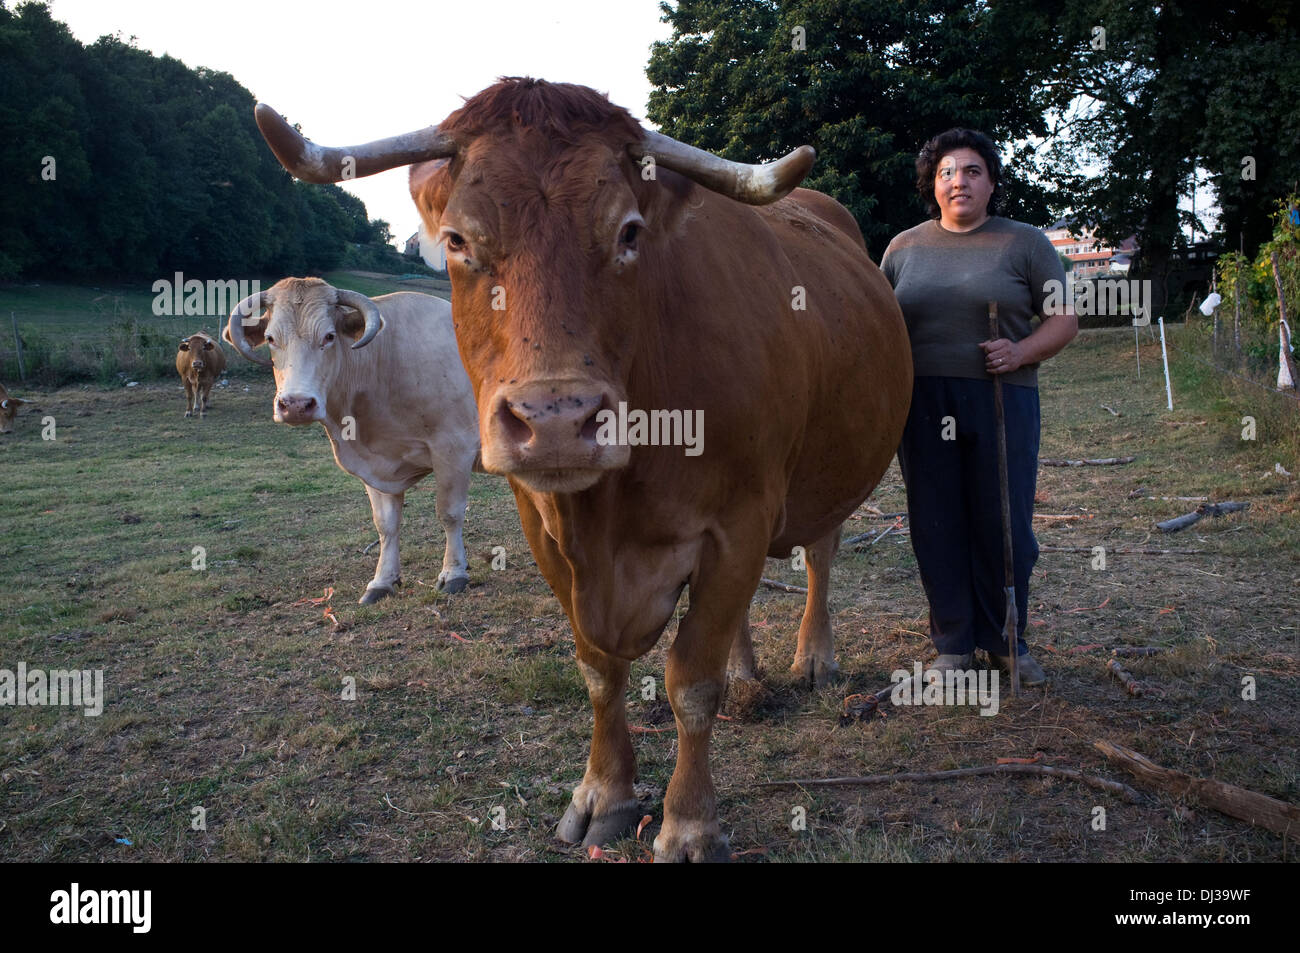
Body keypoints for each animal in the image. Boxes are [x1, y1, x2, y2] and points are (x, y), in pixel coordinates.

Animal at [226, 276, 480, 603]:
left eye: (329, 336)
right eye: (270, 338)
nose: (295, 404)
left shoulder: (454, 447)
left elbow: (449, 513)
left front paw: (454, 574)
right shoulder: (375, 465)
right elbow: (386, 525)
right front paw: (382, 581)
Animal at [256, 78, 915, 858]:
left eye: (628, 233)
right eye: (458, 240)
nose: (556, 420)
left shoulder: (741, 522)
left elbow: (691, 681)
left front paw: (689, 820)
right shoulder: (543, 528)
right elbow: (599, 670)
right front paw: (605, 793)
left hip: (828, 474)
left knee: (819, 555)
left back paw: (813, 657)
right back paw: (748, 675)